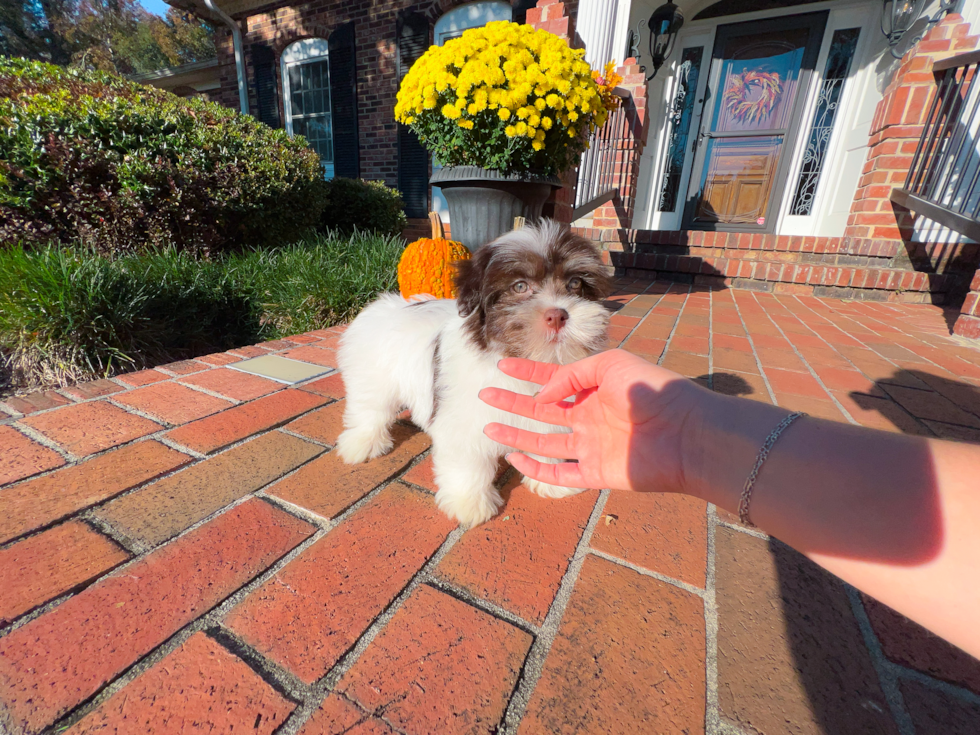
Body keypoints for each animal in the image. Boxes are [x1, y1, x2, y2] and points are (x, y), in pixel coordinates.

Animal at [340, 220, 608, 528]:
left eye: (575, 283)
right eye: (520, 286)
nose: (557, 315)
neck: (521, 358)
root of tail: (386, 305)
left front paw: (551, 482)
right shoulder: (464, 420)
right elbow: (468, 463)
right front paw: (468, 503)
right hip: (372, 378)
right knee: (369, 410)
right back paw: (362, 444)